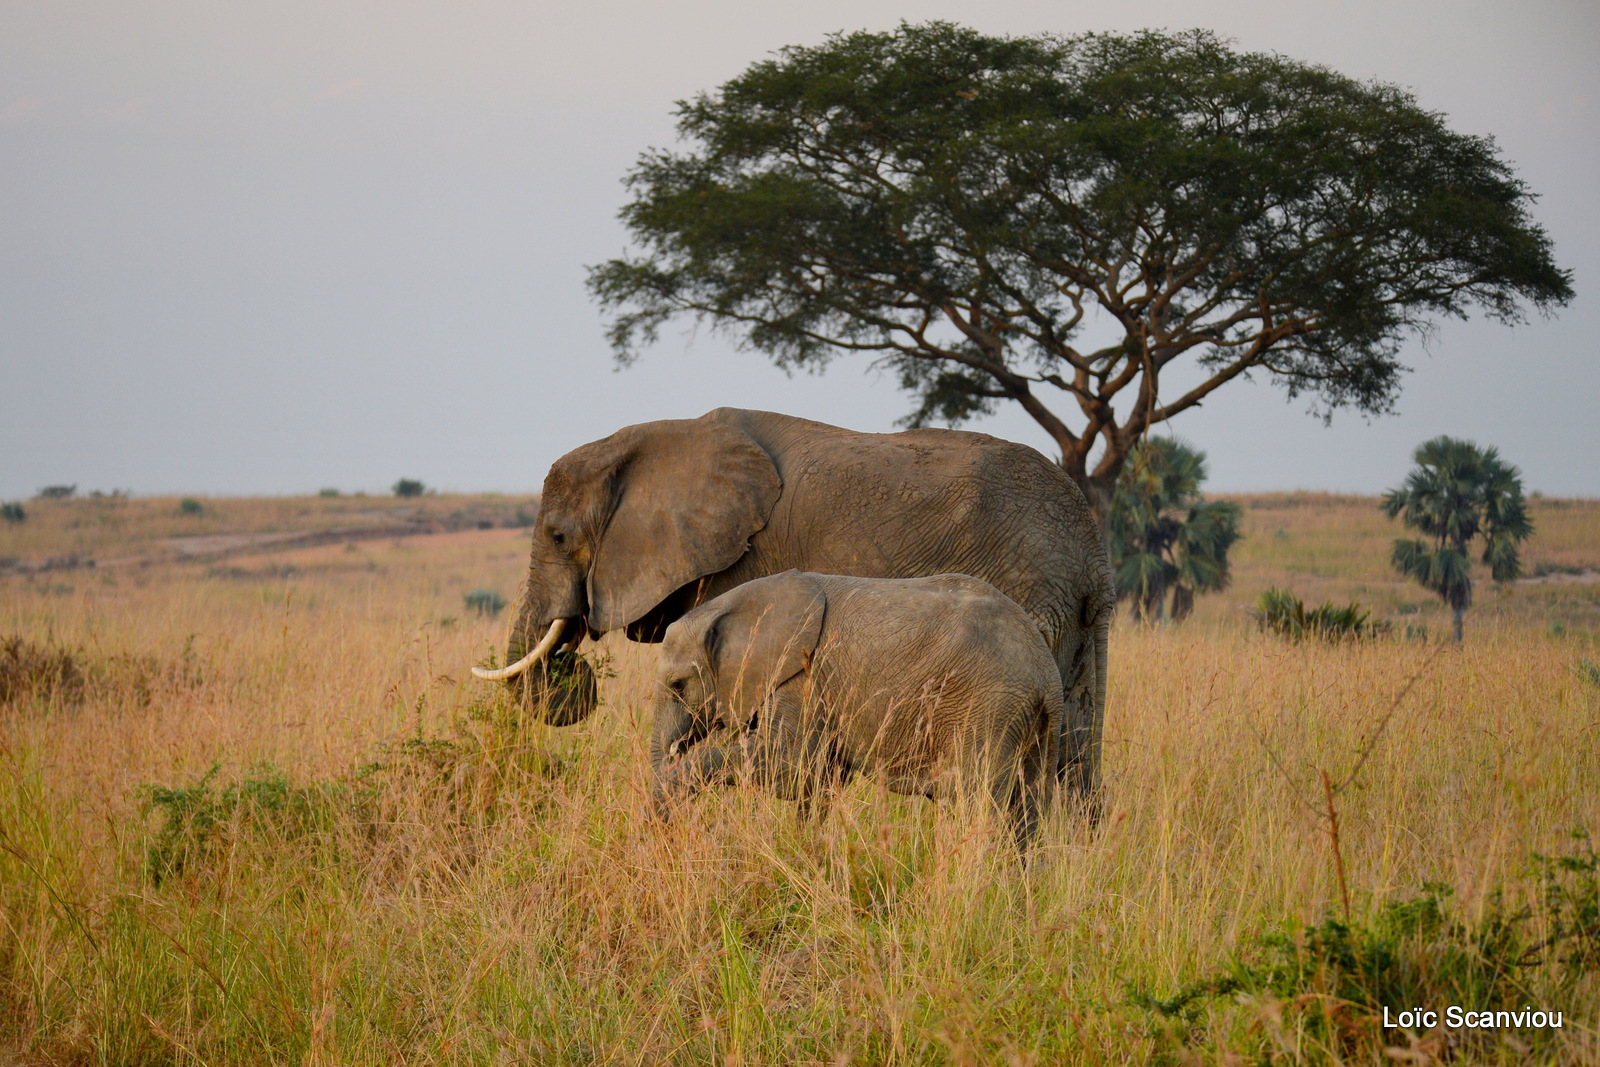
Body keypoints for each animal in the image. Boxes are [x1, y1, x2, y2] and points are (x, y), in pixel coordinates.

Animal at [473, 412, 1113, 809]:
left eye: (558, 536)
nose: (572, 663)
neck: (670, 436)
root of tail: (1095, 552)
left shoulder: (742, 562)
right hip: (1078, 625)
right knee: (1075, 754)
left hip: (1033, 590)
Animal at [649, 572, 1062, 844]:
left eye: (678, 685)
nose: (671, 834)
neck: (728, 608)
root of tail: (1047, 677)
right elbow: (818, 781)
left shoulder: (802, 677)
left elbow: (790, 768)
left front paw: (674, 784)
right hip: (1028, 723)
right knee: (1026, 811)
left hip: (986, 709)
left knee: (978, 805)